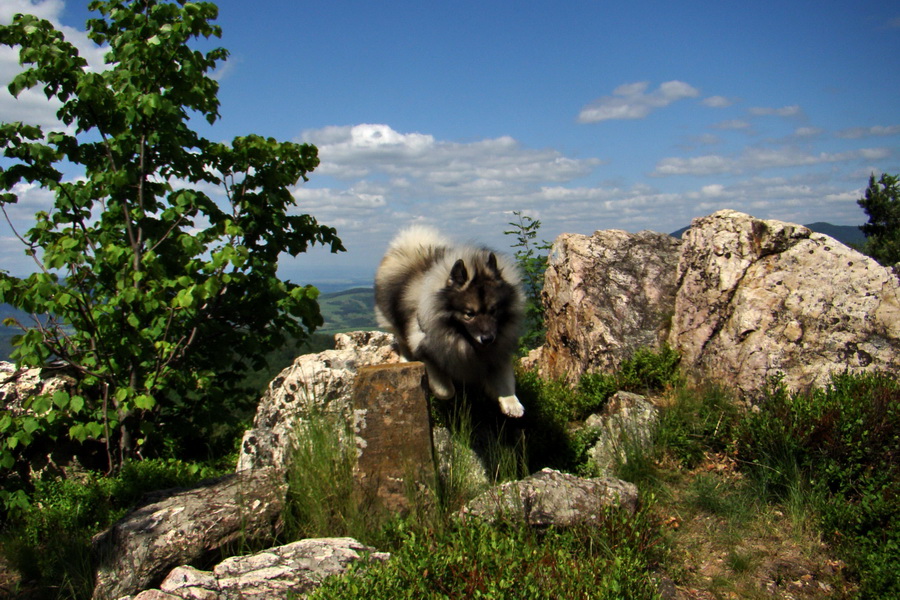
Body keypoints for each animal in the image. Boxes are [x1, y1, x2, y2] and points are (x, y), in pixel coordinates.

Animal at [374, 225, 528, 418]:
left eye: (493, 310)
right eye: (469, 314)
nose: (487, 339)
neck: (461, 338)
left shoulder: (497, 355)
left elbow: (504, 381)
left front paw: (512, 403)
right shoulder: (428, 352)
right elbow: (446, 390)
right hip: (393, 320)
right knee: (401, 340)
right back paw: (405, 358)